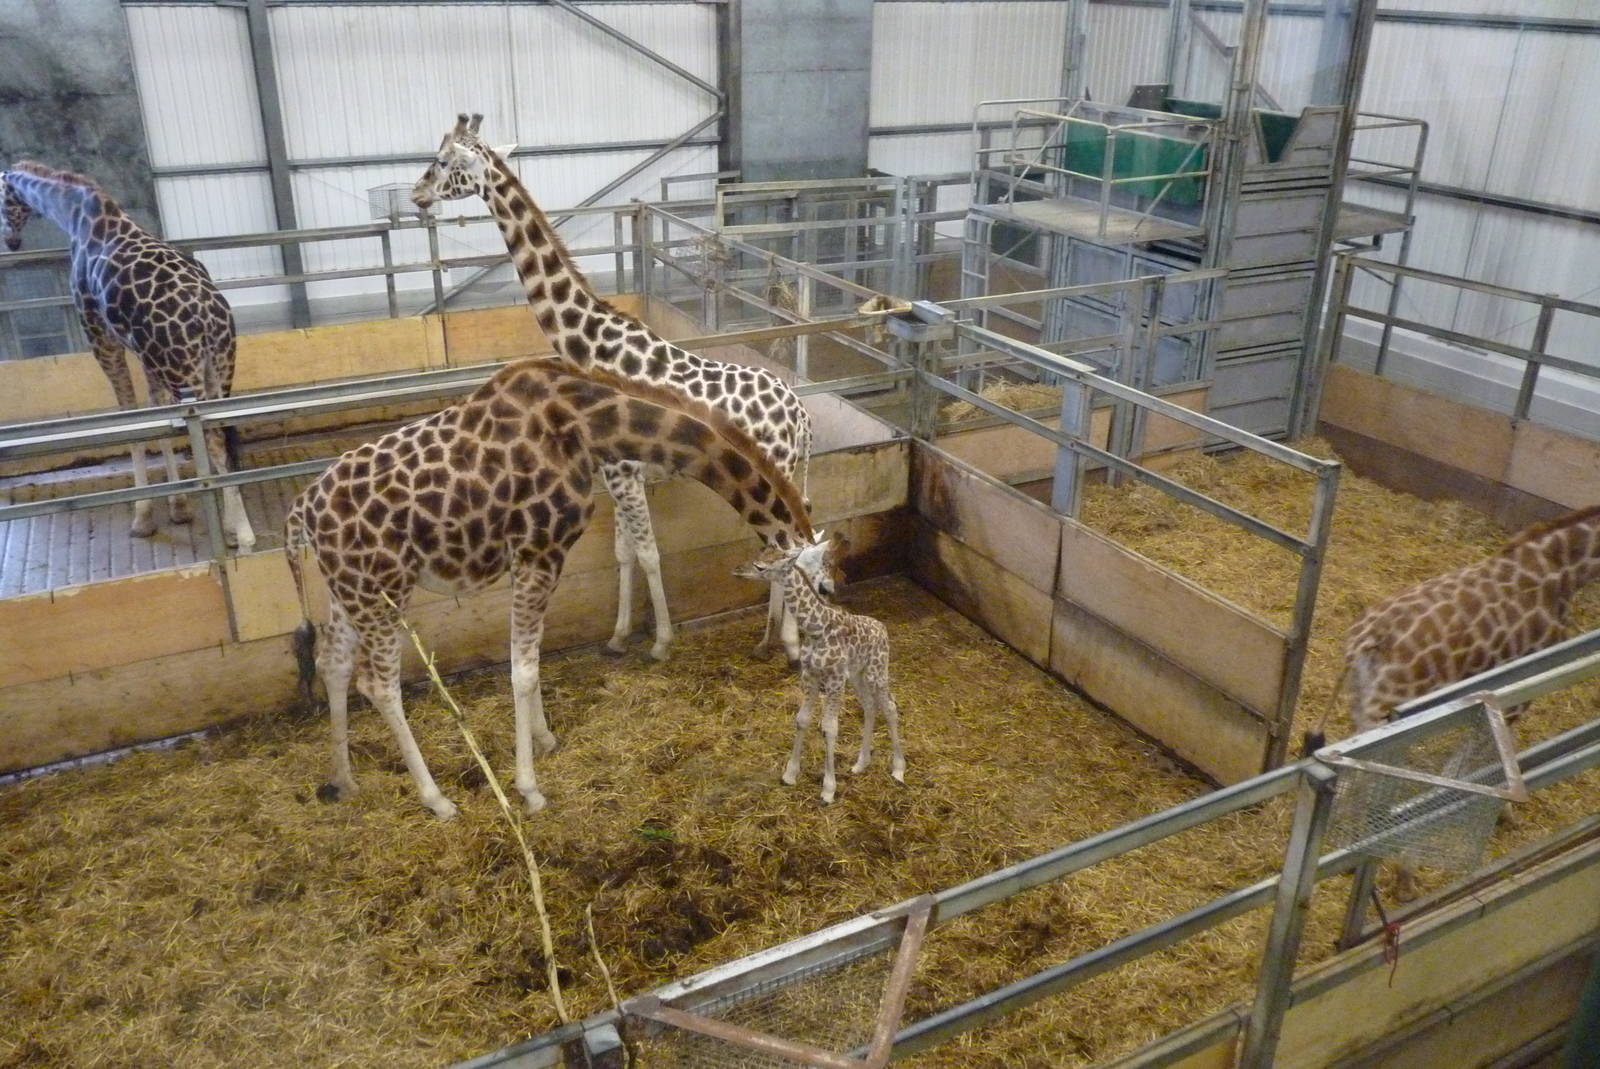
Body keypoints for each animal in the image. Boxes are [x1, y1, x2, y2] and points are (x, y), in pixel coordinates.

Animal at [1, 161, 255, 550]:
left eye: (3, 201)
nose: (11, 241)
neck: (76, 214)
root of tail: (207, 317)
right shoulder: (146, 358)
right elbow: (156, 420)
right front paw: (178, 506)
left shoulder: (101, 338)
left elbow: (132, 421)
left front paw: (143, 517)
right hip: (219, 366)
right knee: (223, 431)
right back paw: (232, 524)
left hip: (183, 371)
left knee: (211, 439)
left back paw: (243, 533)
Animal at [285, 359, 813, 819]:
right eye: (816, 586)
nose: (806, 659)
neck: (590, 426)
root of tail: (301, 514)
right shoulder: (540, 550)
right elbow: (521, 670)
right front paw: (530, 789)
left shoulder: (536, 556)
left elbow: (532, 659)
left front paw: (544, 740)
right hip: (382, 589)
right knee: (378, 684)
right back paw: (437, 800)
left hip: (349, 590)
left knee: (332, 662)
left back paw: (343, 779)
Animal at [409, 113, 817, 665]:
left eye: (444, 161)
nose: (416, 194)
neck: (591, 340)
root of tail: (800, 415)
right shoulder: (614, 470)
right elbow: (624, 552)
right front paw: (619, 636)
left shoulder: (624, 470)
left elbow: (647, 552)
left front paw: (661, 642)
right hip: (787, 471)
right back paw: (769, 638)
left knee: (788, 538)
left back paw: (790, 644)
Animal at [736, 531, 906, 803]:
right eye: (759, 555)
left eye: (760, 566)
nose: (738, 570)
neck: (816, 628)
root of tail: (882, 628)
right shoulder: (810, 676)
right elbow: (802, 719)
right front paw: (790, 775)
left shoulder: (834, 679)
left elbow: (829, 727)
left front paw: (828, 789)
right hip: (857, 675)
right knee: (870, 706)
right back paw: (861, 764)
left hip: (877, 671)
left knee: (889, 706)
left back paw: (898, 769)